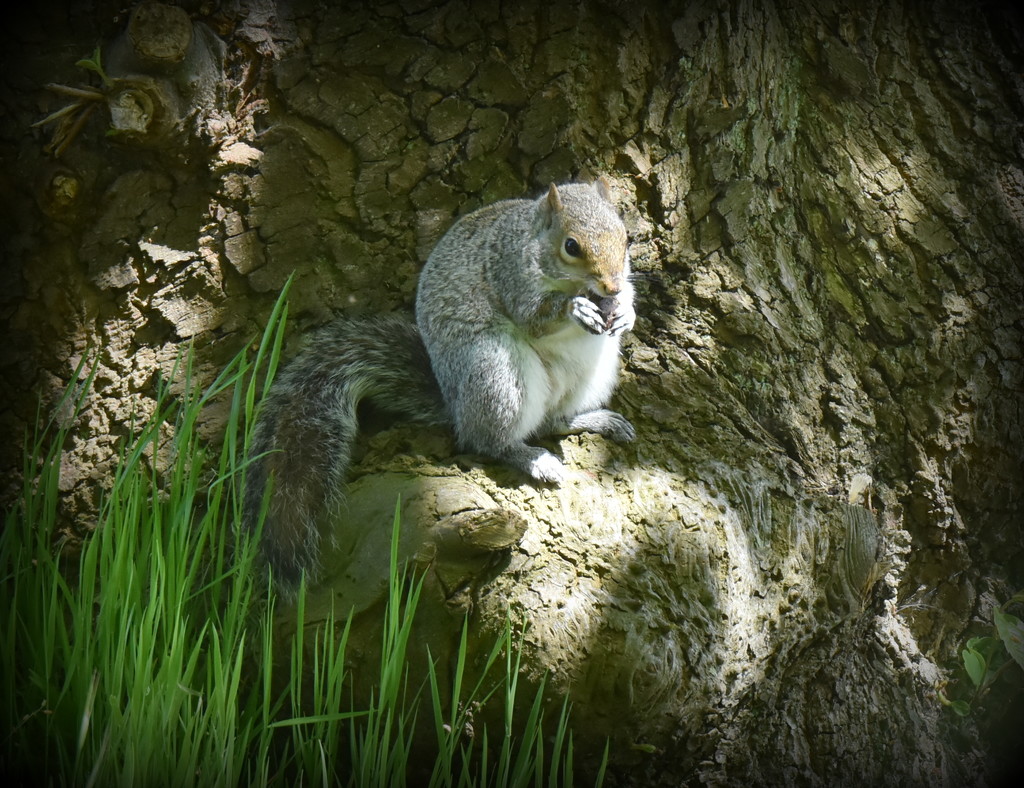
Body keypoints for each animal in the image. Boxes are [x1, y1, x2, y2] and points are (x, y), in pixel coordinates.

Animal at [243, 178, 634, 589]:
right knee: (487, 440)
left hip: (592, 372)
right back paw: (532, 458)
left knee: (553, 421)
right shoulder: (509, 275)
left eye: (627, 238)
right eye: (571, 246)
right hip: (496, 374)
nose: (611, 287)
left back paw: (596, 419)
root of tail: (454, 403)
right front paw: (574, 308)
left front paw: (627, 309)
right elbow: (534, 317)